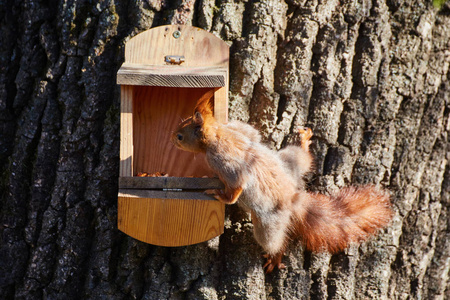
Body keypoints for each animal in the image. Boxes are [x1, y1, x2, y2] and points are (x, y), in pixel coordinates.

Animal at [172, 90, 394, 274]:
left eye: (181, 136)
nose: (172, 139)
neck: (218, 134)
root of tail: (293, 198)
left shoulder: (223, 160)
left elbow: (236, 187)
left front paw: (219, 194)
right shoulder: (241, 131)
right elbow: (254, 133)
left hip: (268, 225)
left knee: (275, 242)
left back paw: (276, 257)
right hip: (289, 162)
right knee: (302, 159)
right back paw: (303, 142)